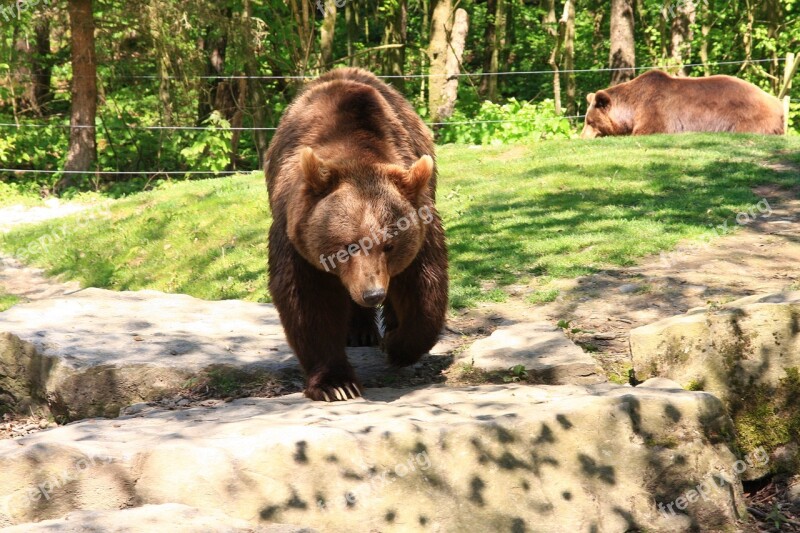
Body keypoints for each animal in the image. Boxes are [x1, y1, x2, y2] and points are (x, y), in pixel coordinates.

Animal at [266, 66, 446, 402]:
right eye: (347, 246)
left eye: (389, 245)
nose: (372, 293)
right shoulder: (296, 237)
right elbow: (309, 301)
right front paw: (337, 384)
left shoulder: (419, 222)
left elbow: (424, 288)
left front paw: (398, 345)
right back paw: (359, 332)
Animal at [580, 69, 784, 138]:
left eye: (590, 121)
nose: (582, 137)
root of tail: (777, 102)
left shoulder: (655, 111)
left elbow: (647, 130)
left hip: (746, 116)